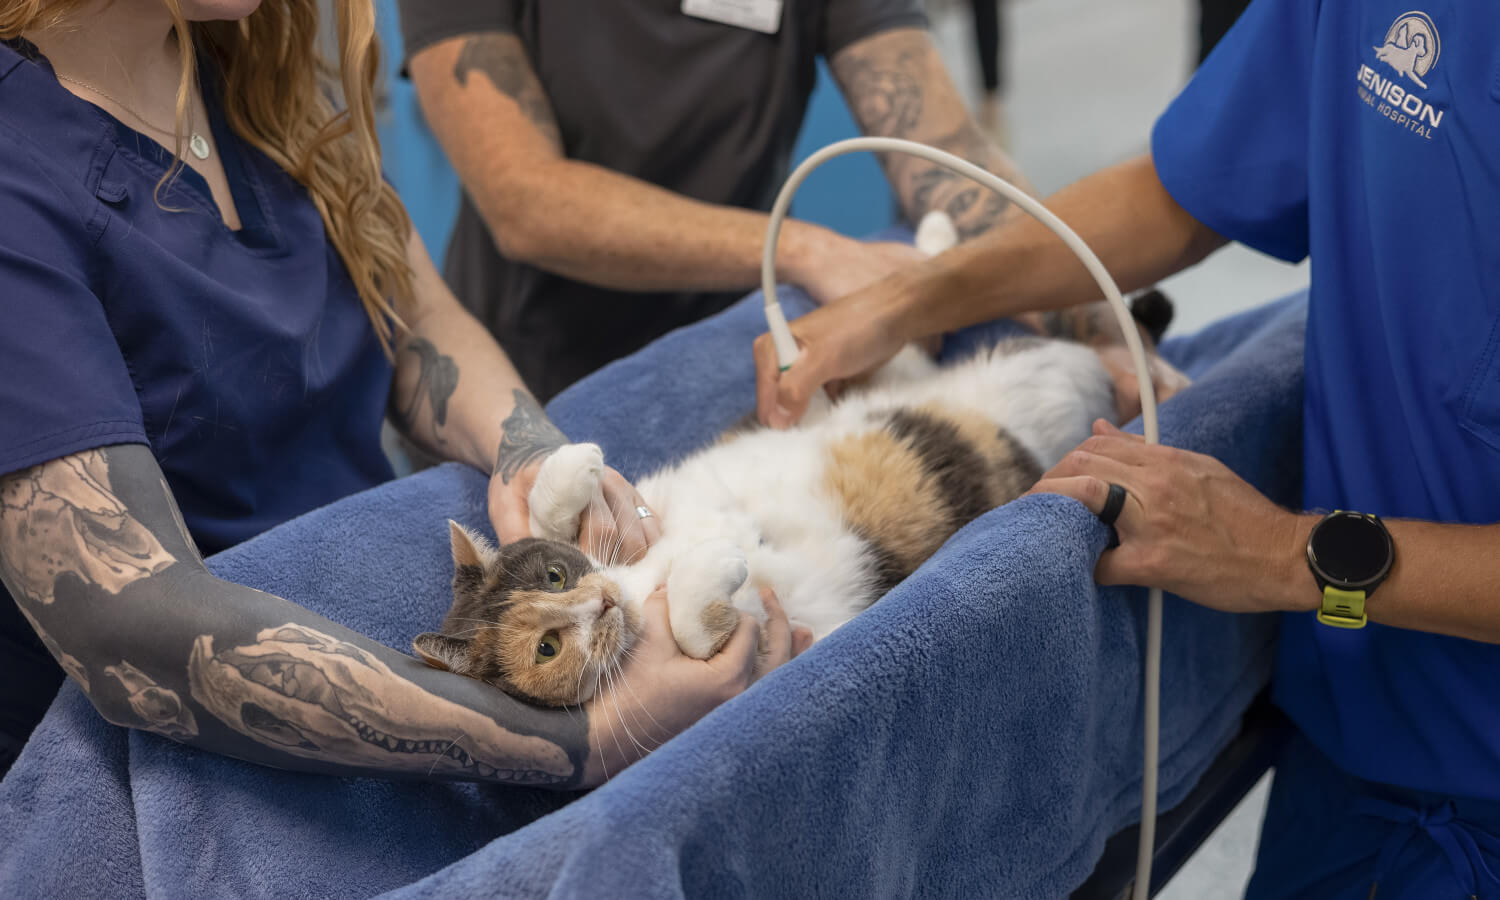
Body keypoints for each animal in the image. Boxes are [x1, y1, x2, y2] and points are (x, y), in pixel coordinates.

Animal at [417, 306, 1176, 708]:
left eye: (554, 576)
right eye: (546, 647)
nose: (600, 604)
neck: (635, 584)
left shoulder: (645, 513)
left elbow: (551, 507)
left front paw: (578, 459)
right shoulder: (763, 646)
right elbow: (695, 623)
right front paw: (717, 562)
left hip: (891, 374)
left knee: (907, 354)